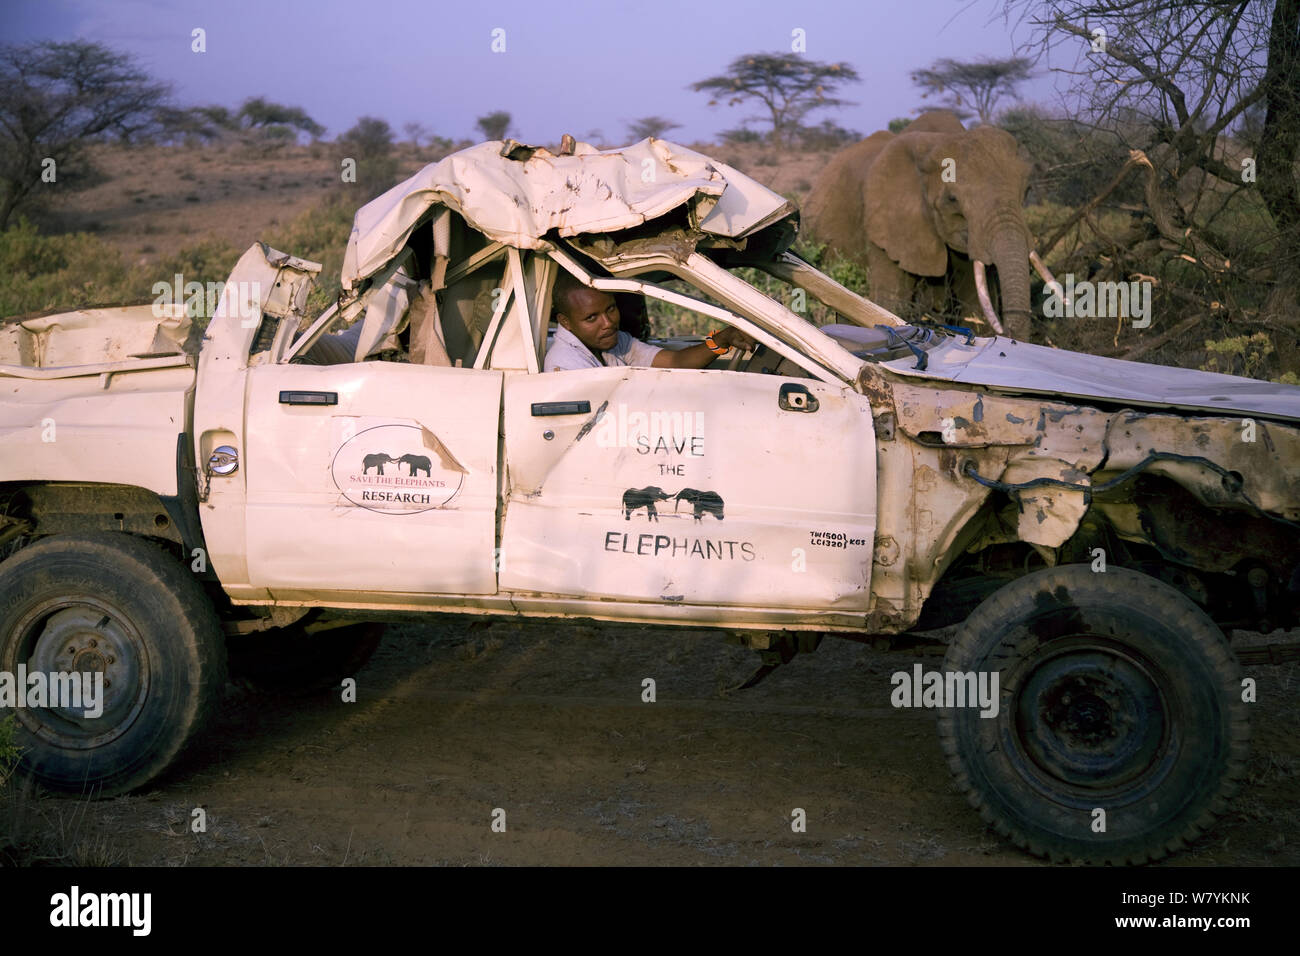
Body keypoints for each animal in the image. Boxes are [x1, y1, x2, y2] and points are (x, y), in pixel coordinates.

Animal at [800, 109, 1055, 340]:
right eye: (952, 199)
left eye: (1027, 191)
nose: (1007, 333)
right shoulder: (885, 226)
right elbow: (890, 304)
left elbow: (974, 307)